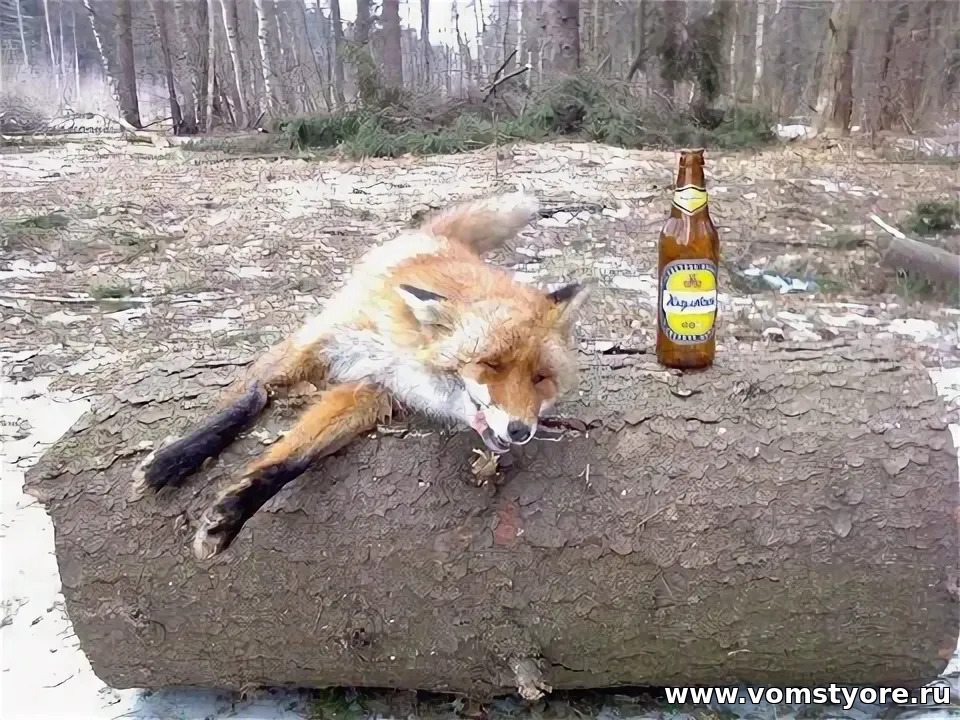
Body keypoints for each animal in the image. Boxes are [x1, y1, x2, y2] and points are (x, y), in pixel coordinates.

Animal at [132, 191, 590, 561]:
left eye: (541, 378)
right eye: (491, 365)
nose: (520, 431)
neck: (398, 351)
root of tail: (438, 239)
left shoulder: (372, 391)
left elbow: (295, 456)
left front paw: (232, 513)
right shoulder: (316, 342)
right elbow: (250, 400)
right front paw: (174, 460)